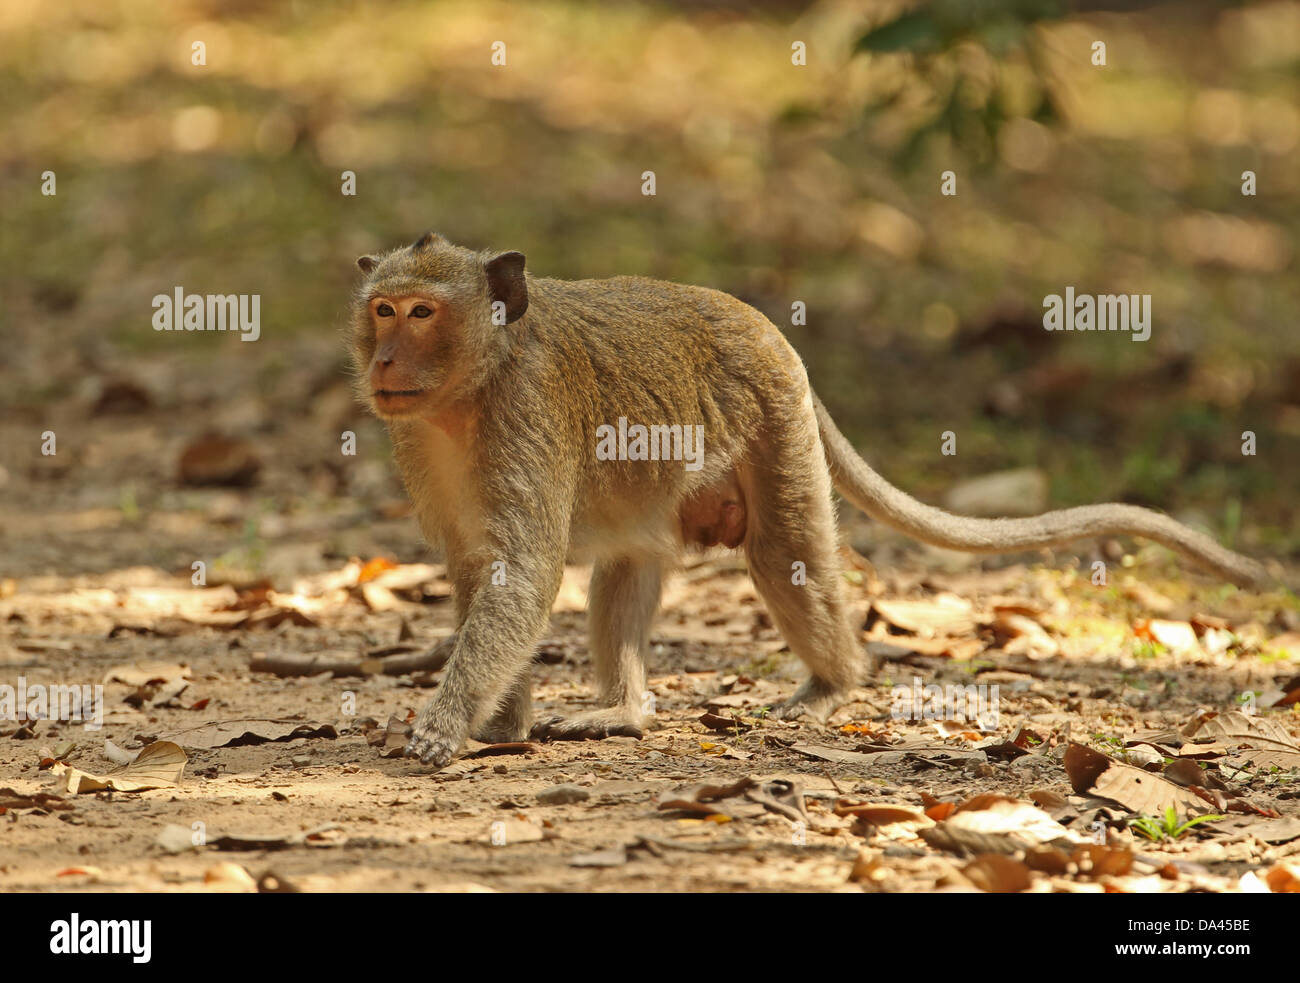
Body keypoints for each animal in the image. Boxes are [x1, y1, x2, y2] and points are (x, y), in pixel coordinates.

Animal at [349, 232, 1267, 769]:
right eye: (383, 309)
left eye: (422, 313)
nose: (384, 360)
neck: (471, 389)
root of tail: (767, 327)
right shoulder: (417, 439)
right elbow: (480, 567)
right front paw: (501, 720)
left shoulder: (525, 413)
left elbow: (525, 572)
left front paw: (448, 722)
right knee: (631, 559)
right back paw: (626, 711)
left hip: (774, 427)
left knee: (782, 554)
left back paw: (833, 683)